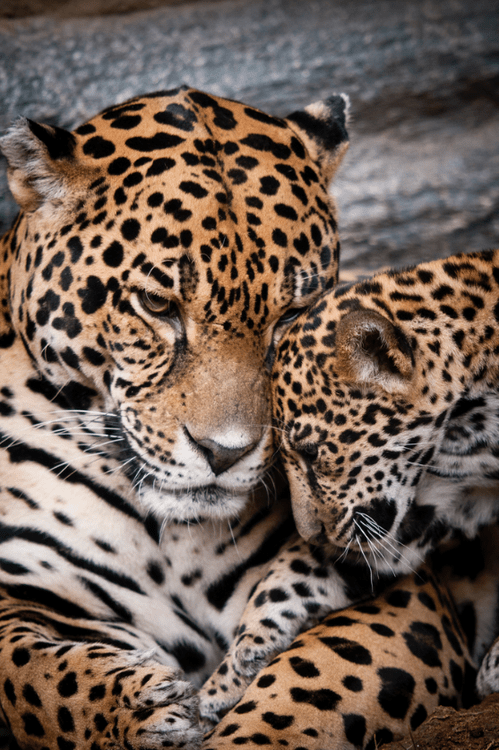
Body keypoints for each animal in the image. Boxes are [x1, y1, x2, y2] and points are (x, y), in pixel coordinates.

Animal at [0, 85, 356, 750]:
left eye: (293, 313)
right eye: (157, 304)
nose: (226, 452)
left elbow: (313, 678)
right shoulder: (26, 592)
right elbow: (34, 675)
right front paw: (144, 711)